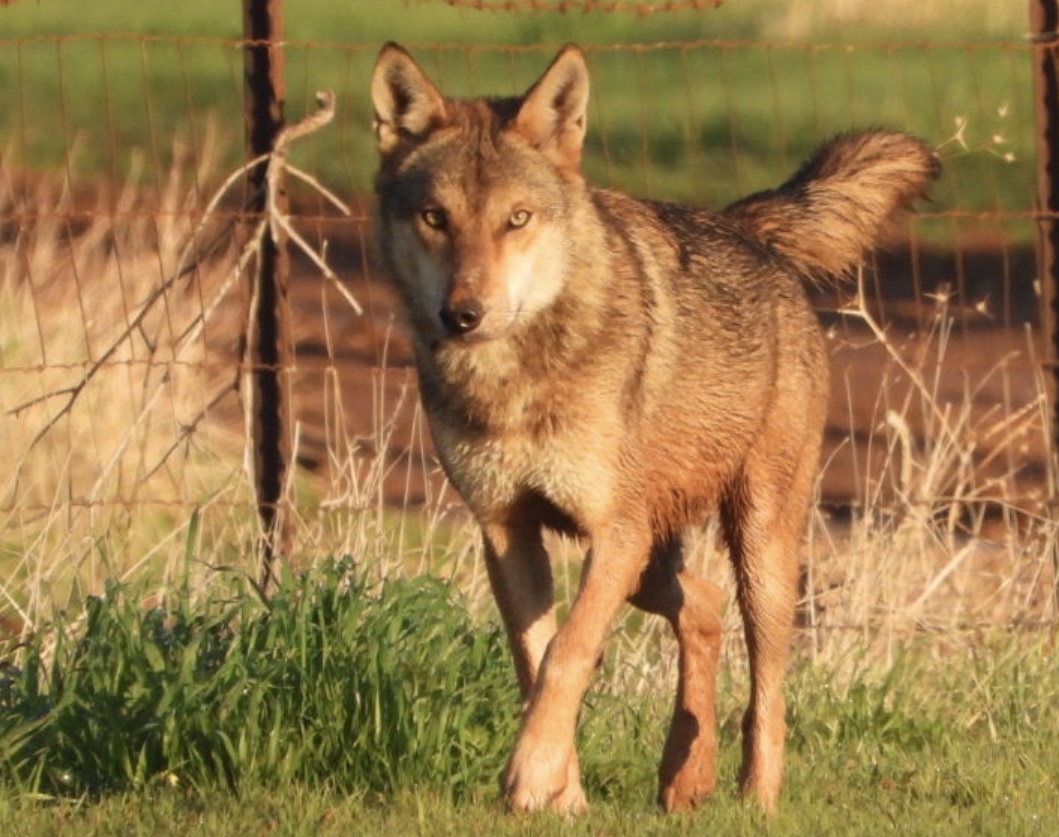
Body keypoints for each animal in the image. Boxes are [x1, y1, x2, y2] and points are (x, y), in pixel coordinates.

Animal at [370, 42, 936, 817]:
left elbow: (568, 652)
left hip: (752, 544)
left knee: (767, 686)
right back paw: (685, 777)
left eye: (517, 218)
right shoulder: (506, 530)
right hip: (651, 558)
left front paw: (530, 776)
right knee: (702, 607)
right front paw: (563, 795)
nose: (463, 314)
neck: (515, 383)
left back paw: (755, 798)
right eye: (434, 217)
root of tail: (740, 224)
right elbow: (534, 661)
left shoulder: (613, 532)